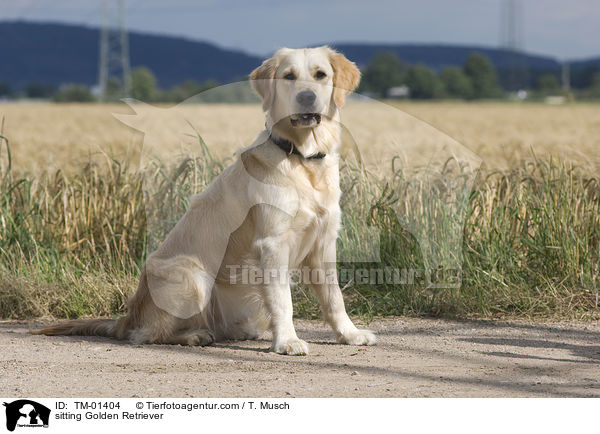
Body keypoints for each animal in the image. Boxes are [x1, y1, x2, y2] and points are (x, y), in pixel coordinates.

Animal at [32, 46, 376, 356]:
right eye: (289, 76)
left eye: (321, 75)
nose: (306, 97)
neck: (302, 158)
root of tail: (126, 317)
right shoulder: (272, 243)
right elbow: (283, 301)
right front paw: (288, 341)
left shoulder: (324, 241)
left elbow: (334, 298)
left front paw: (350, 334)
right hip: (192, 275)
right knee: (147, 334)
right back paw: (195, 335)